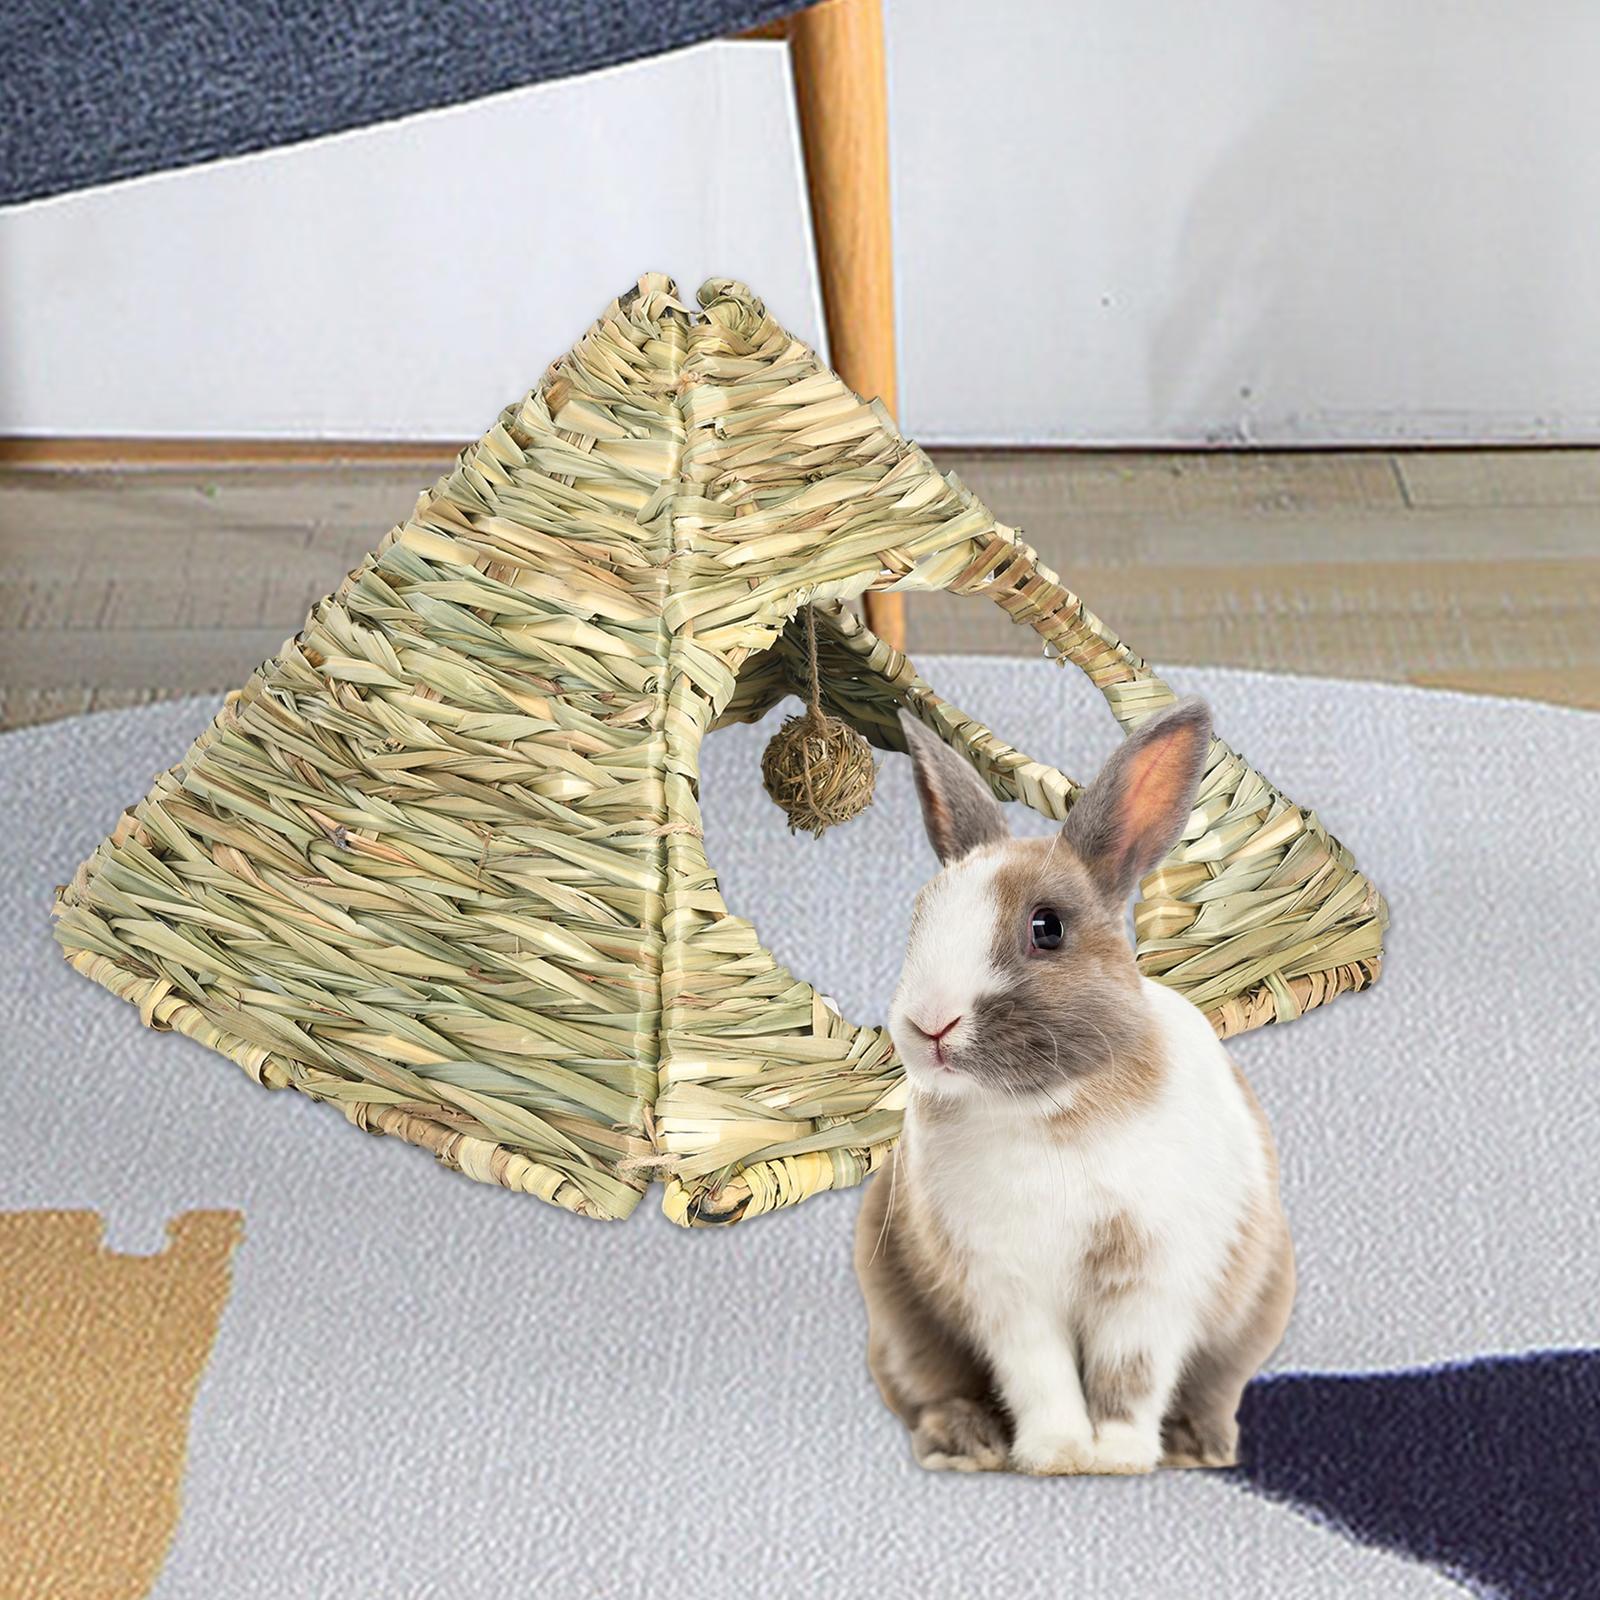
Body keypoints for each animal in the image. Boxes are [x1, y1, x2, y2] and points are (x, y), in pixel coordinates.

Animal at [855, 697, 1294, 1476]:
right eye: (919, 918)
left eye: (1047, 928)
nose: (929, 1024)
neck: (1049, 1109)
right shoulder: (1006, 1290)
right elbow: (1041, 1374)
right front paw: (1058, 1453)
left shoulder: (1150, 1281)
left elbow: (1130, 1373)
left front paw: (1116, 1456)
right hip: (899, 1321)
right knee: (931, 1389)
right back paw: (964, 1446)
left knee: (1215, 1386)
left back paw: (1200, 1447)